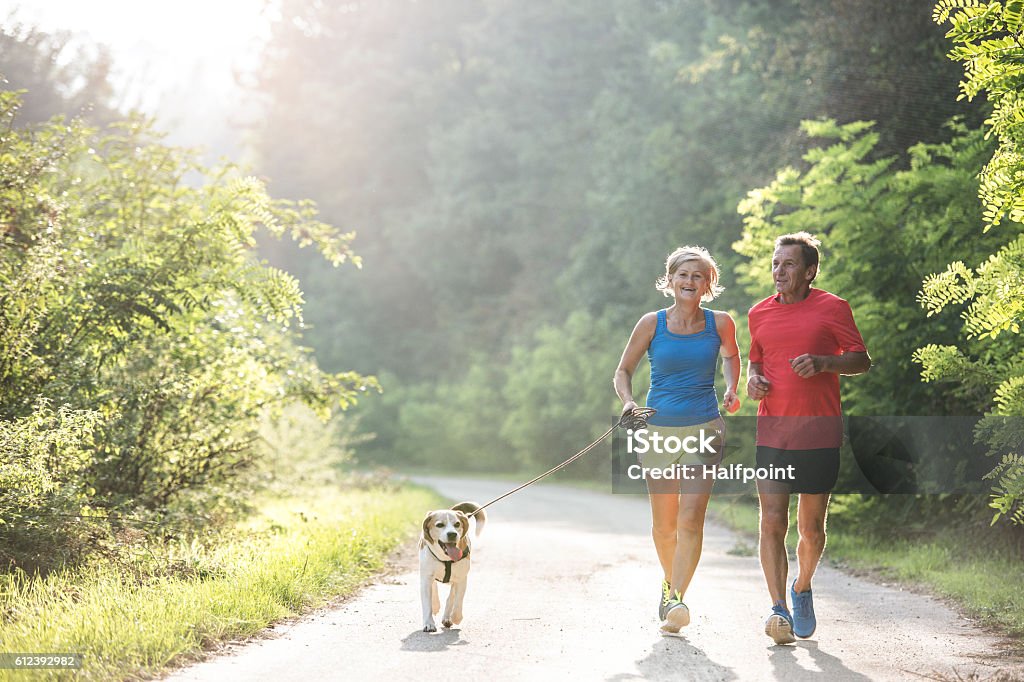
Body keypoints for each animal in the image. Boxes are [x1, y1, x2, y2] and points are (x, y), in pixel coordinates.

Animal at [423, 497, 487, 630]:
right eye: (440, 525)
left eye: (457, 524)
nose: (452, 534)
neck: (446, 558)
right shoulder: (426, 578)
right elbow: (427, 602)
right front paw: (429, 623)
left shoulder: (461, 579)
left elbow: (458, 600)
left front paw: (456, 617)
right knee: (434, 588)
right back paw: (436, 606)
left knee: (451, 597)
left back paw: (448, 617)